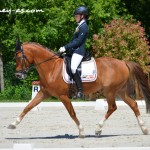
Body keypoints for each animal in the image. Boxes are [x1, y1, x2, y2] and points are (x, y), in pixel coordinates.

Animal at [7, 39, 150, 137]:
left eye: (19, 57)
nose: (18, 75)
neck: (52, 68)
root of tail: (123, 62)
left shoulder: (63, 96)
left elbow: (72, 113)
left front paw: (81, 131)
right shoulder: (44, 92)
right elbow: (28, 106)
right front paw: (13, 124)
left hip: (110, 91)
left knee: (112, 107)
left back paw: (98, 129)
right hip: (120, 91)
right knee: (133, 104)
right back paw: (144, 129)